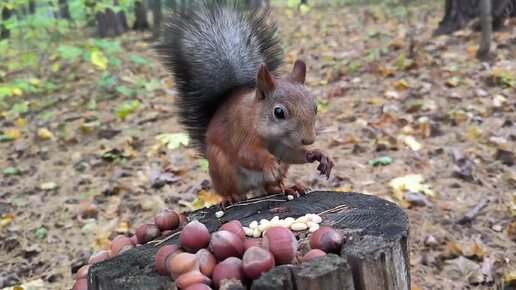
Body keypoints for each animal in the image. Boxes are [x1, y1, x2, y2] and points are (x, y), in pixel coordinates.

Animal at [155, 0, 334, 204]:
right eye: (279, 112)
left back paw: (289, 187)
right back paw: (232, 197)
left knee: (270, 187)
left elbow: (291, 154)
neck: (271, 135)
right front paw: (270, 163)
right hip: (222, 168)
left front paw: (317, 154)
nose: (309, 139)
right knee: (231, 189)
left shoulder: (283, 147)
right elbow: (246, 154)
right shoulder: (242, 132)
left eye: (315, 107)